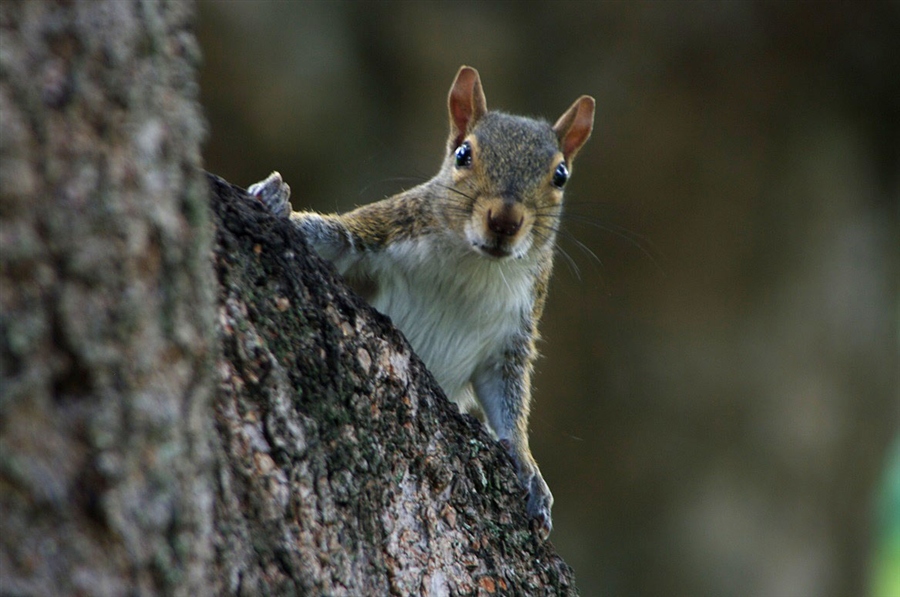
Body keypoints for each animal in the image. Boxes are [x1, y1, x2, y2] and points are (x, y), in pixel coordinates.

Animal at [250, 65, 596, 536]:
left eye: (560, 175)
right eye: (464, 154)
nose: (504, 221)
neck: (473, 267)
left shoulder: (512, 335)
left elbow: (508, 398)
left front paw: (529, 470)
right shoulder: (384, 231)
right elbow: (333, 238)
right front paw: (275, 201)